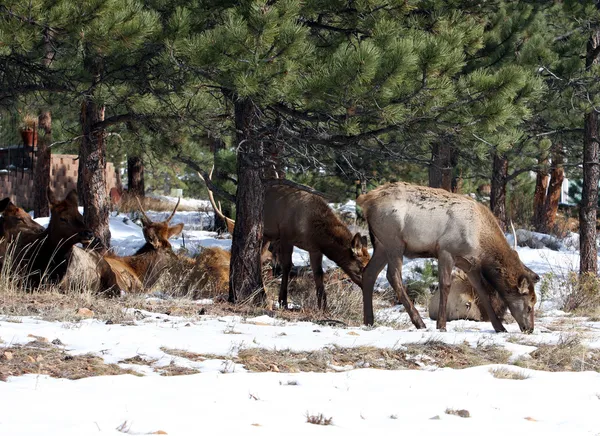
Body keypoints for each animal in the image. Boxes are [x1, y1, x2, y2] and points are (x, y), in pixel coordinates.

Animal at [358, 182, 540, 332]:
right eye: (529, 305)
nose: (530, 328)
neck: (480, 242)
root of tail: (366, 199)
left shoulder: (469, 264)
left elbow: (482, 291)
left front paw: (500, 327)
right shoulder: (446, 250)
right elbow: (445, 285)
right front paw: (441, 325)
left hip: (381, 245)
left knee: (369, 273)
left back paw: (369, 321)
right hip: (394, 242)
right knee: (393, 276)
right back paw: (419, 322)